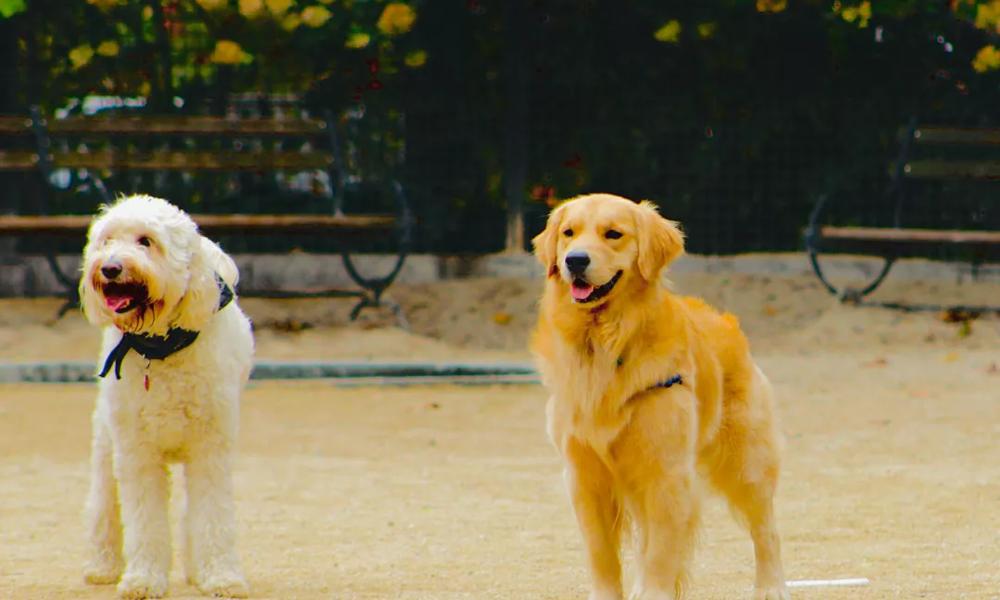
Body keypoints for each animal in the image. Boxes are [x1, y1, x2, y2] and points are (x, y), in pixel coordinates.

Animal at [80, 195, 256, 596]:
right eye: (107, 240)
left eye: (146, 241)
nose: (110, 268)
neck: (160, 347)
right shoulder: (136, 453)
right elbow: (144, 521)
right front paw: (143, 579)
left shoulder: (210, 450)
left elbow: (213, 516)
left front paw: (221, 576)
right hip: (105, 441)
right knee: (103, 505)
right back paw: (101, 565)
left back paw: (195, 570)